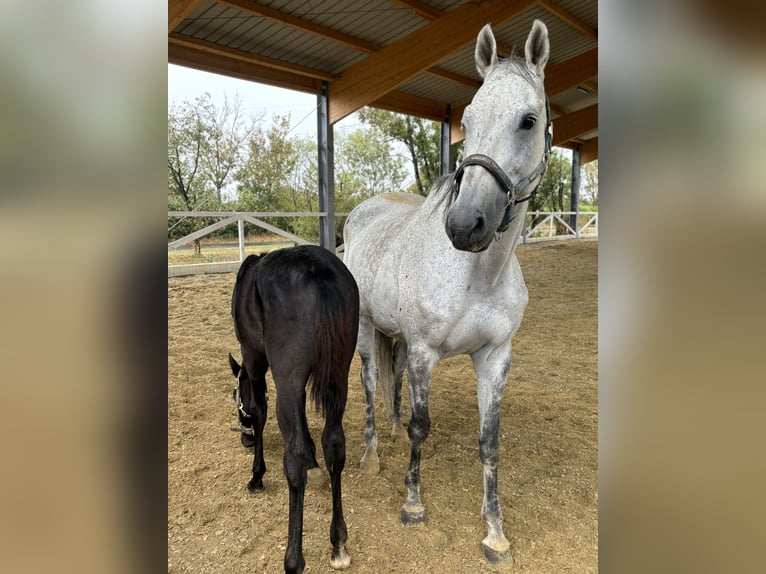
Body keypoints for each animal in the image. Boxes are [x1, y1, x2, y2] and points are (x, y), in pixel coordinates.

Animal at [228, 246, 360, 574]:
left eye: (234, 395)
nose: (245, 439)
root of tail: (317, 270)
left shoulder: (255, 361)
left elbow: (258, 411)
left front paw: (257, 476)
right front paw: (315, 466)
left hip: (286, 379)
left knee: (294, 455)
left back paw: (293, 559)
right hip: (339, 378)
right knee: (334, 444)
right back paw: (338, 543)